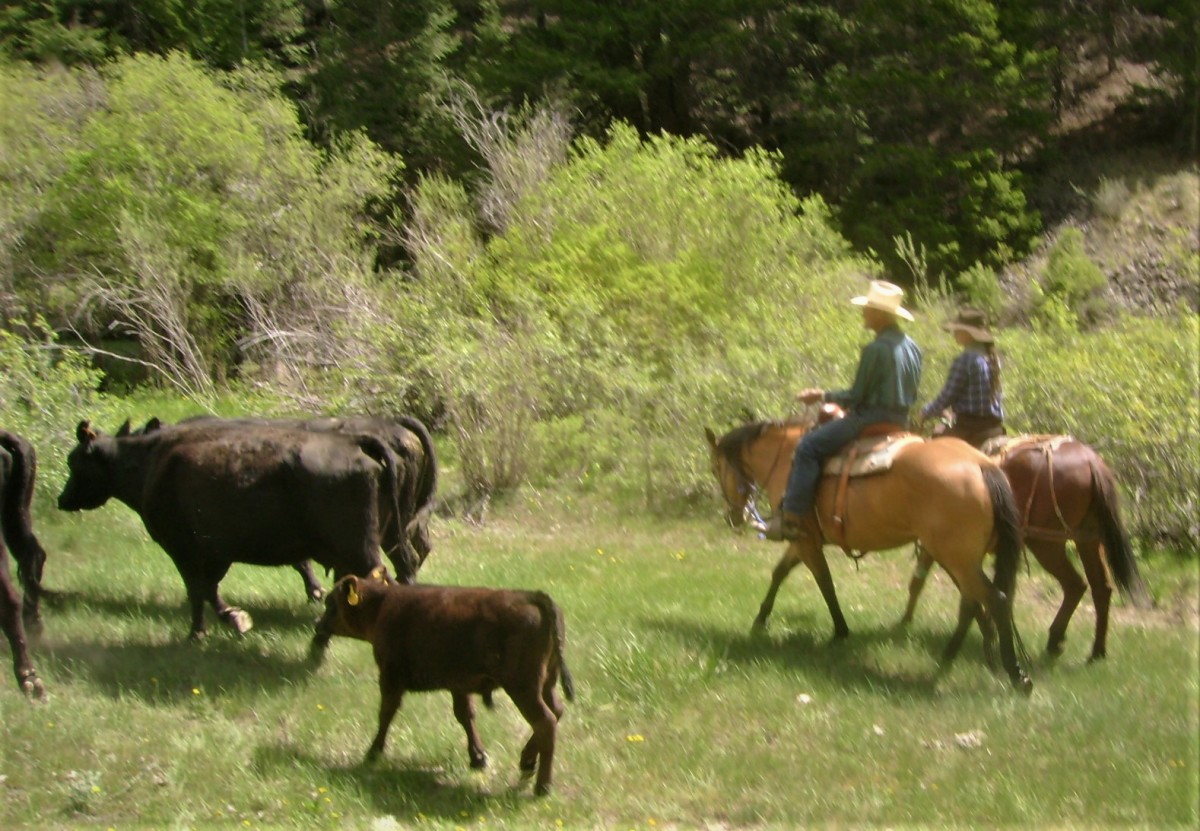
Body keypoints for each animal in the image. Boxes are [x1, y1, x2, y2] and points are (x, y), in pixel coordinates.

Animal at [57, 417, 403, 638]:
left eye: (74, 462)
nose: (62, 499)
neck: (152, 460)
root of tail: (352, 440)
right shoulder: (216, 552)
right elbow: (207, 588)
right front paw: (225, 622)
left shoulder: (183, 547)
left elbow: (198, 589)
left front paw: (206, 629)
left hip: (357, 548)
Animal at [314, 571, 576, 797]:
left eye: (331, 602)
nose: (318, 624)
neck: (382, 606)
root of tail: (531, 596)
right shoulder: (459, 685)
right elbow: (465, 715)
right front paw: (478, 757)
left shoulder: (390, 677)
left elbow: (386, 713)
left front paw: (373, 752)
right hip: (546, 684)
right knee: (556, 712)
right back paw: (527, 762)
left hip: (524, 688)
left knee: (546, 721)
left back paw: (542, 786)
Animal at [700, 417, 1032, 691]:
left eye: (715, 468)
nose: (733, 517)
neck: (786, 458)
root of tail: (983, 466)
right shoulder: (802, 541)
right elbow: (780, 573)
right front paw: (760, 620)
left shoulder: (806, 542)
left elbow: (824, 582)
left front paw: (840, 631)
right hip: (958, 558)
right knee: (973, 602)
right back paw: (955, 657)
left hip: (955, 558)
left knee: (995, 599)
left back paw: (1017, 674)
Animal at [902, 434, 1152, 662]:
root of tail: (1092, 462)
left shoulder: (949, 551)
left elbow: (929, 583)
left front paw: (905, 623)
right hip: (1087, 540)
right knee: (1098, 587)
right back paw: (1091, 650)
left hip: (1046, 545)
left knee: (1075, 584)